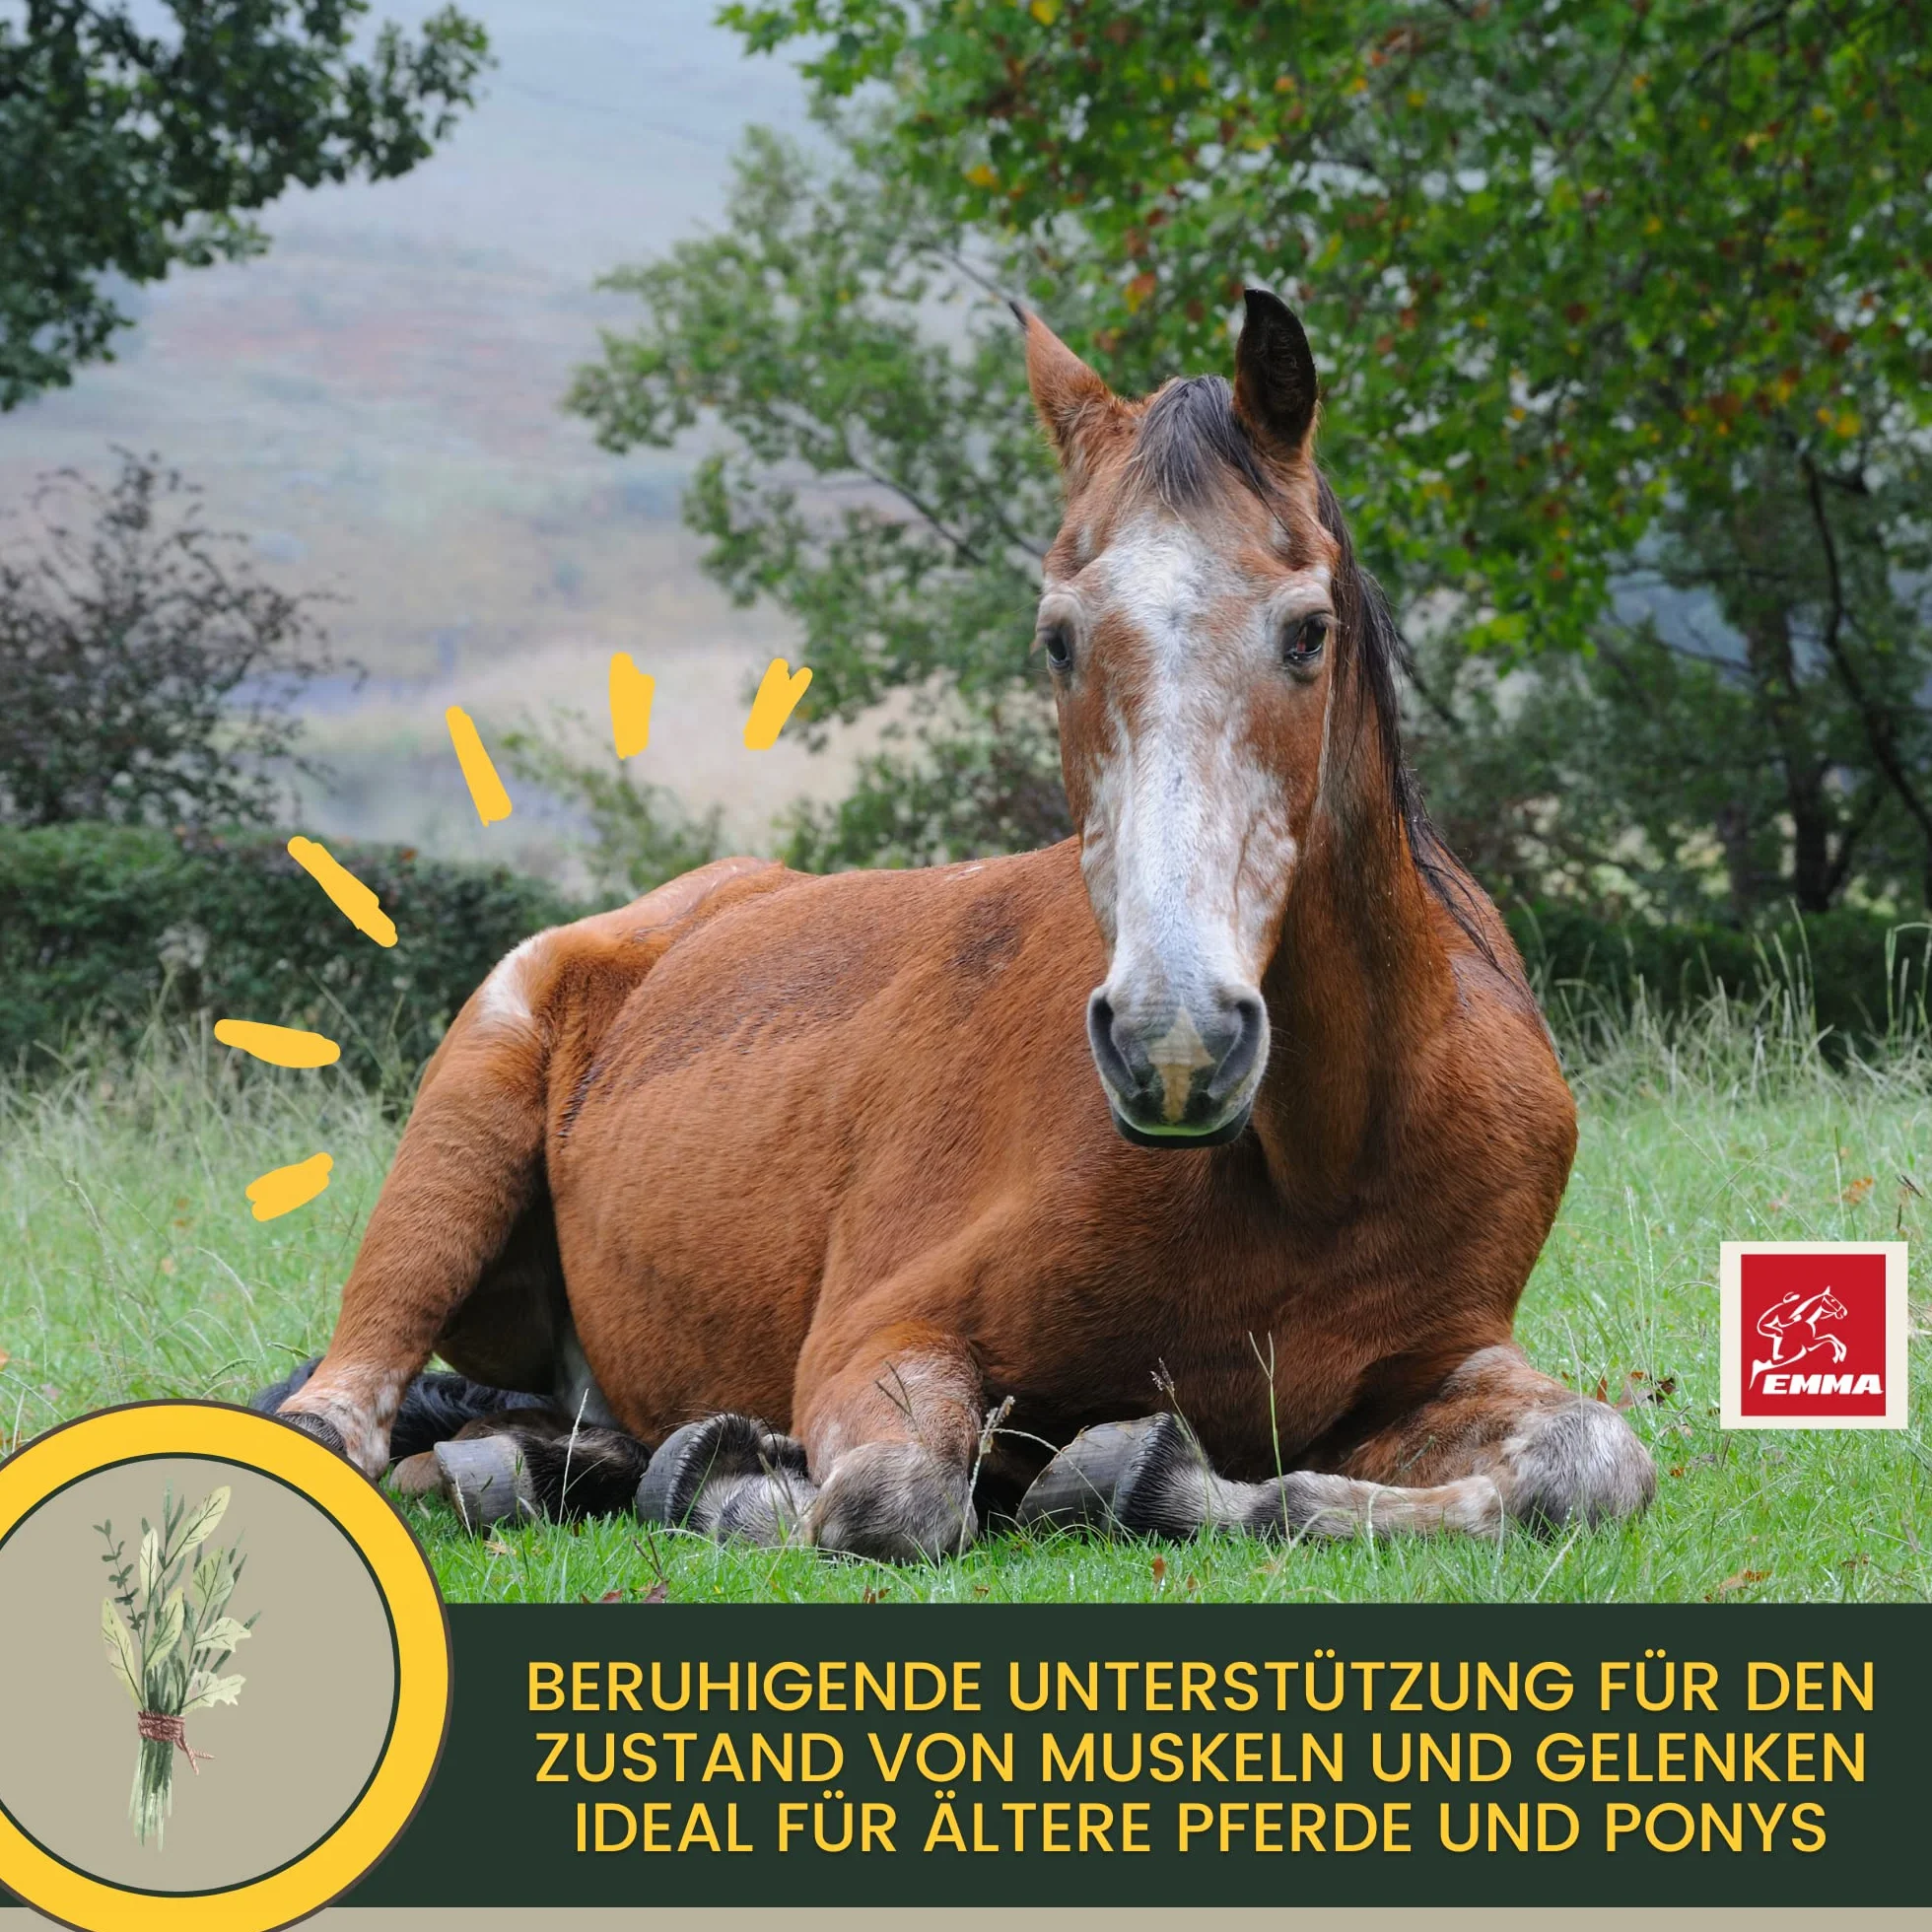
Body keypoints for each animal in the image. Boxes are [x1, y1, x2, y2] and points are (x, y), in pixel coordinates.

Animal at [263, 289, 1656, 1561]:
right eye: (1057, 640)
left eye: (1307, 630)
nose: (1175, 1043)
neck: (1325, 1156)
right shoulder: (879, 1337)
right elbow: (892, 1497)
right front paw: (745, 1479)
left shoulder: (1426, 1370)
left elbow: (1591, 1462)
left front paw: (1133, 1474)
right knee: (340, 1425)